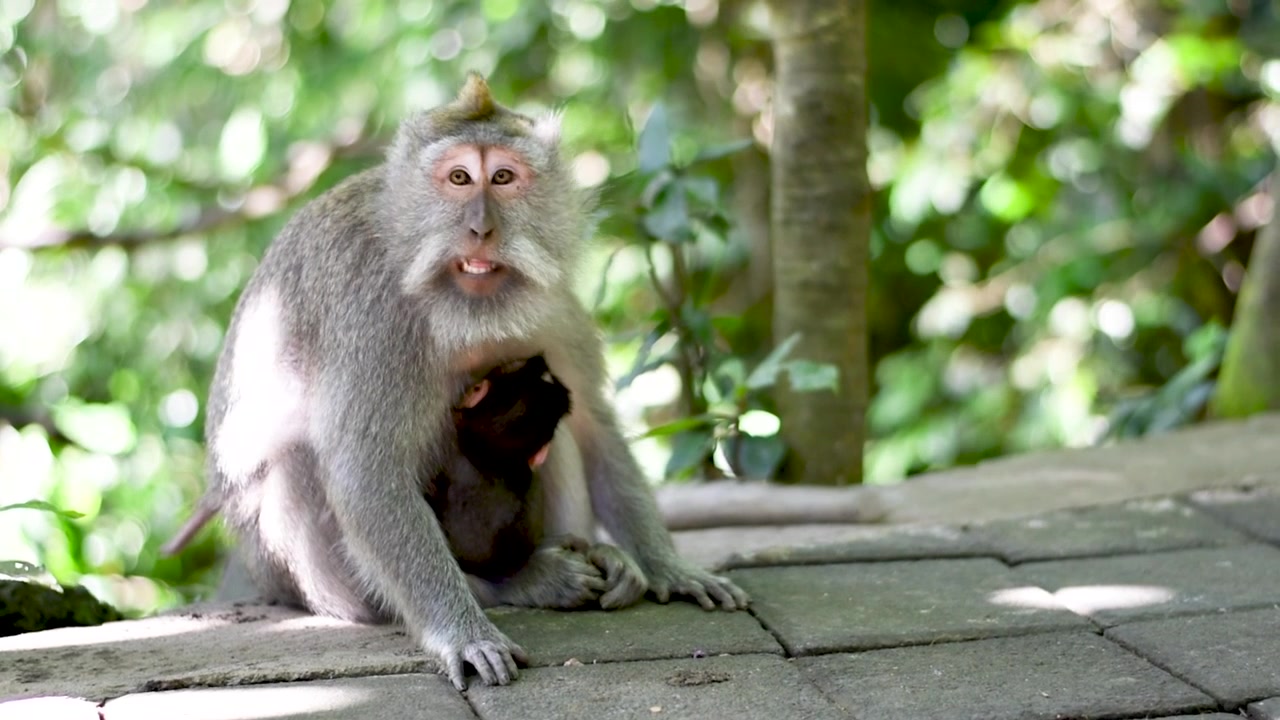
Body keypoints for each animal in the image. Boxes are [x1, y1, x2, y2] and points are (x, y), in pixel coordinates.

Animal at [202, 72, 749, 691]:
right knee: (297, 463)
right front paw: (462, 634)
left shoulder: (555, 307)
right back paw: (520, 584)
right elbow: (365, 471)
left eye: (504, 177)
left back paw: (592, 560)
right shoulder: (372, 318)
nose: (481, 228)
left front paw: (668, 566)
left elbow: (592, 421)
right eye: (459, 178)